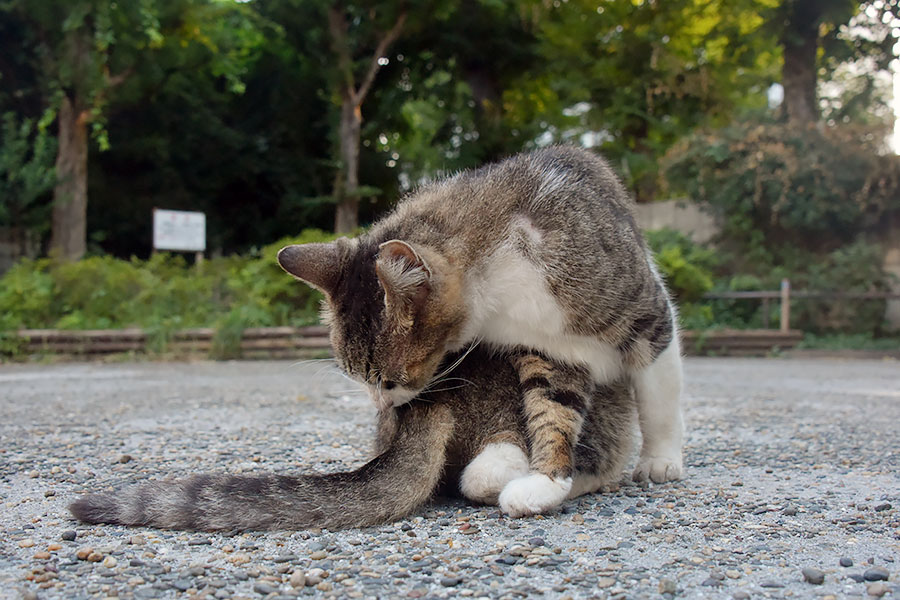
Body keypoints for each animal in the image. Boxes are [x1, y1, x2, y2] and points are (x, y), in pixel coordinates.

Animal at [278, 144, 684, 516]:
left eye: (389, 381)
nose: (382, 406)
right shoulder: (548, 351)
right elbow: (553, 408)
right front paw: (546, 482)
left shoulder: (649, 317)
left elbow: (659, 398)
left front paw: (659, 459)